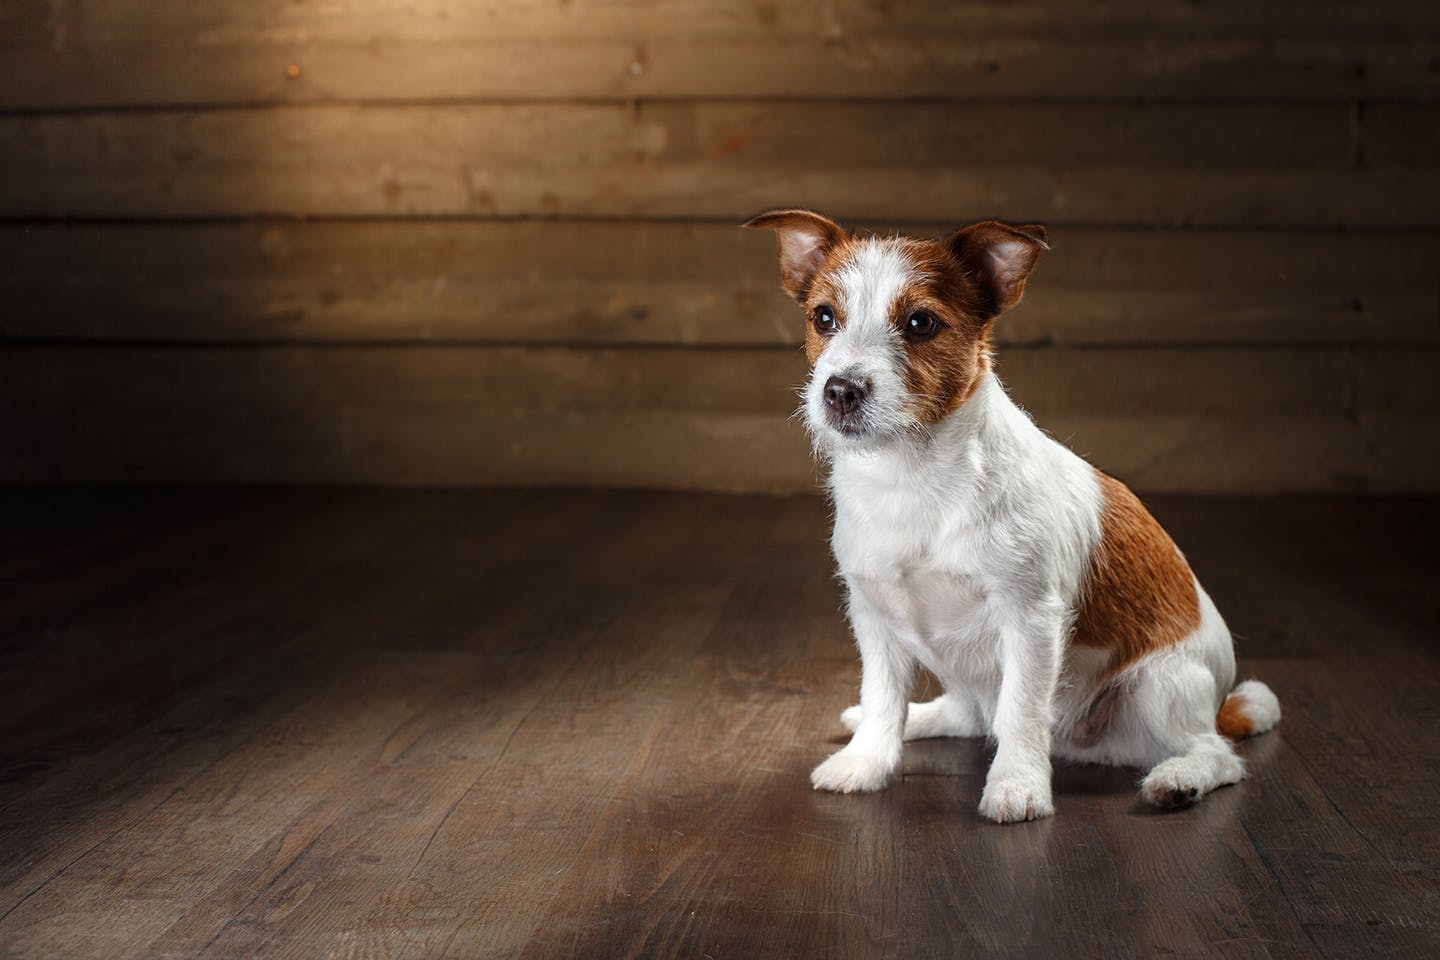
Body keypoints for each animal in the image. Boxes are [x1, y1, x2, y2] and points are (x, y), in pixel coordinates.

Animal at [748, 210, 1278, 829]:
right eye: (823, 317)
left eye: (920, 322)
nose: (840, 391)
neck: (911, 476)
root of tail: (1219, 705)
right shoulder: (872, 614)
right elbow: (883, 697)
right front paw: (868, 761)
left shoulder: (1030, 620)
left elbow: (1022, 708)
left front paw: (1017, 786)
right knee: (969, 713)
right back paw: (919, 718)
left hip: (1160, 687)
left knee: (1218, 755)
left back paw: (1179, 780)